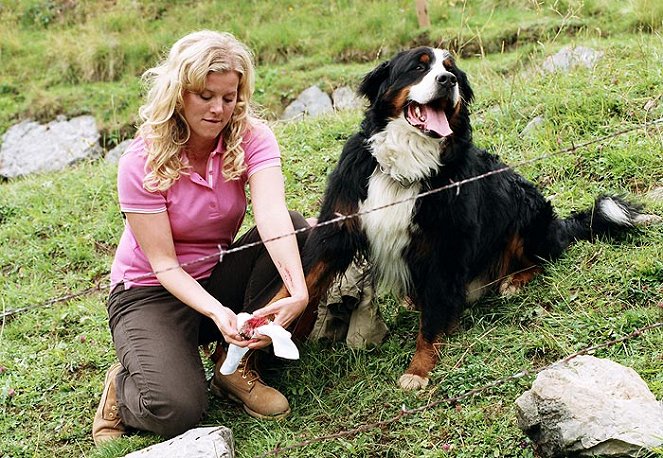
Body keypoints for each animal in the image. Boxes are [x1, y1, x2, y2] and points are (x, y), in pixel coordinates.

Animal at [296, 45, 652, 390]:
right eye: (419, 66)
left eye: (450, 69)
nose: (447, 81)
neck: (408, 166)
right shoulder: (340, 223)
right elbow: (310, 278)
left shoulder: (446, 244)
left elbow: (434, 315)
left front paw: (419, 369)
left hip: (524, 209)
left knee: (542, 258)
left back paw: (513, 281)